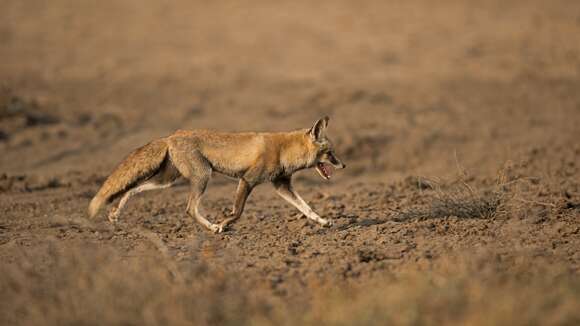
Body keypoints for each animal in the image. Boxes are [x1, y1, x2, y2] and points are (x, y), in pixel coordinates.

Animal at [87, 116, 344, 233]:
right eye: (330, 153)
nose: (343, 165)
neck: (284, 151)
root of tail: (171, 136)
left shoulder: (282, 185)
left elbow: (307, 208)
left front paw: (323, 221)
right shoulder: (248, 180)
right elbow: (237, 212)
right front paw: (223, 223)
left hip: (166, 181)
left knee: (133, 188)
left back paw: (114, 213)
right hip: (202, 176)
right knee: (189, 209)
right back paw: (211, 228)